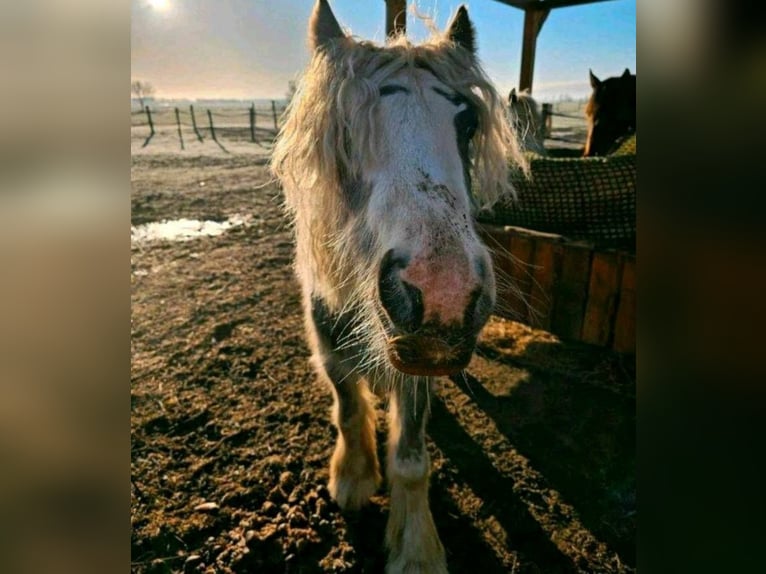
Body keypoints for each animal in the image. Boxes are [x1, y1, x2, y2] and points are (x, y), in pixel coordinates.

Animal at [270, 2, 528, 572]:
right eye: (347, 126)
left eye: (467, 122)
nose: (444, 293)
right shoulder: (328, 339)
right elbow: (348, 408)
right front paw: (353, 478)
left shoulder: (421, 357)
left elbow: (411, 457)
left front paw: (415, 549)